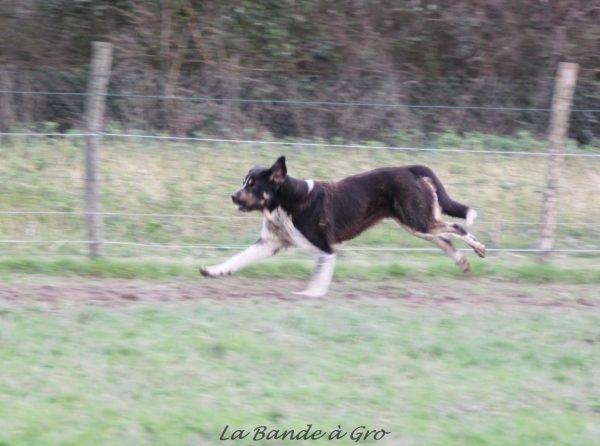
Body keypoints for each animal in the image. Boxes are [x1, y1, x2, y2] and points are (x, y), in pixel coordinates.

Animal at [199, 157, 486, 296]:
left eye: (253, 185)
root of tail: (409, 168)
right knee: (446, 240)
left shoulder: (324, 249)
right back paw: (463, 262)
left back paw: (480, 248)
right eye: (243, 182)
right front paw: (212, 271)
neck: (287, 201)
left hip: (419, 221)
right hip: (417, 224)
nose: (233, 196)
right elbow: (236, 260)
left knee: (457, 228)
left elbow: (318, 277)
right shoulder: (269, 244)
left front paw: (310, 295)